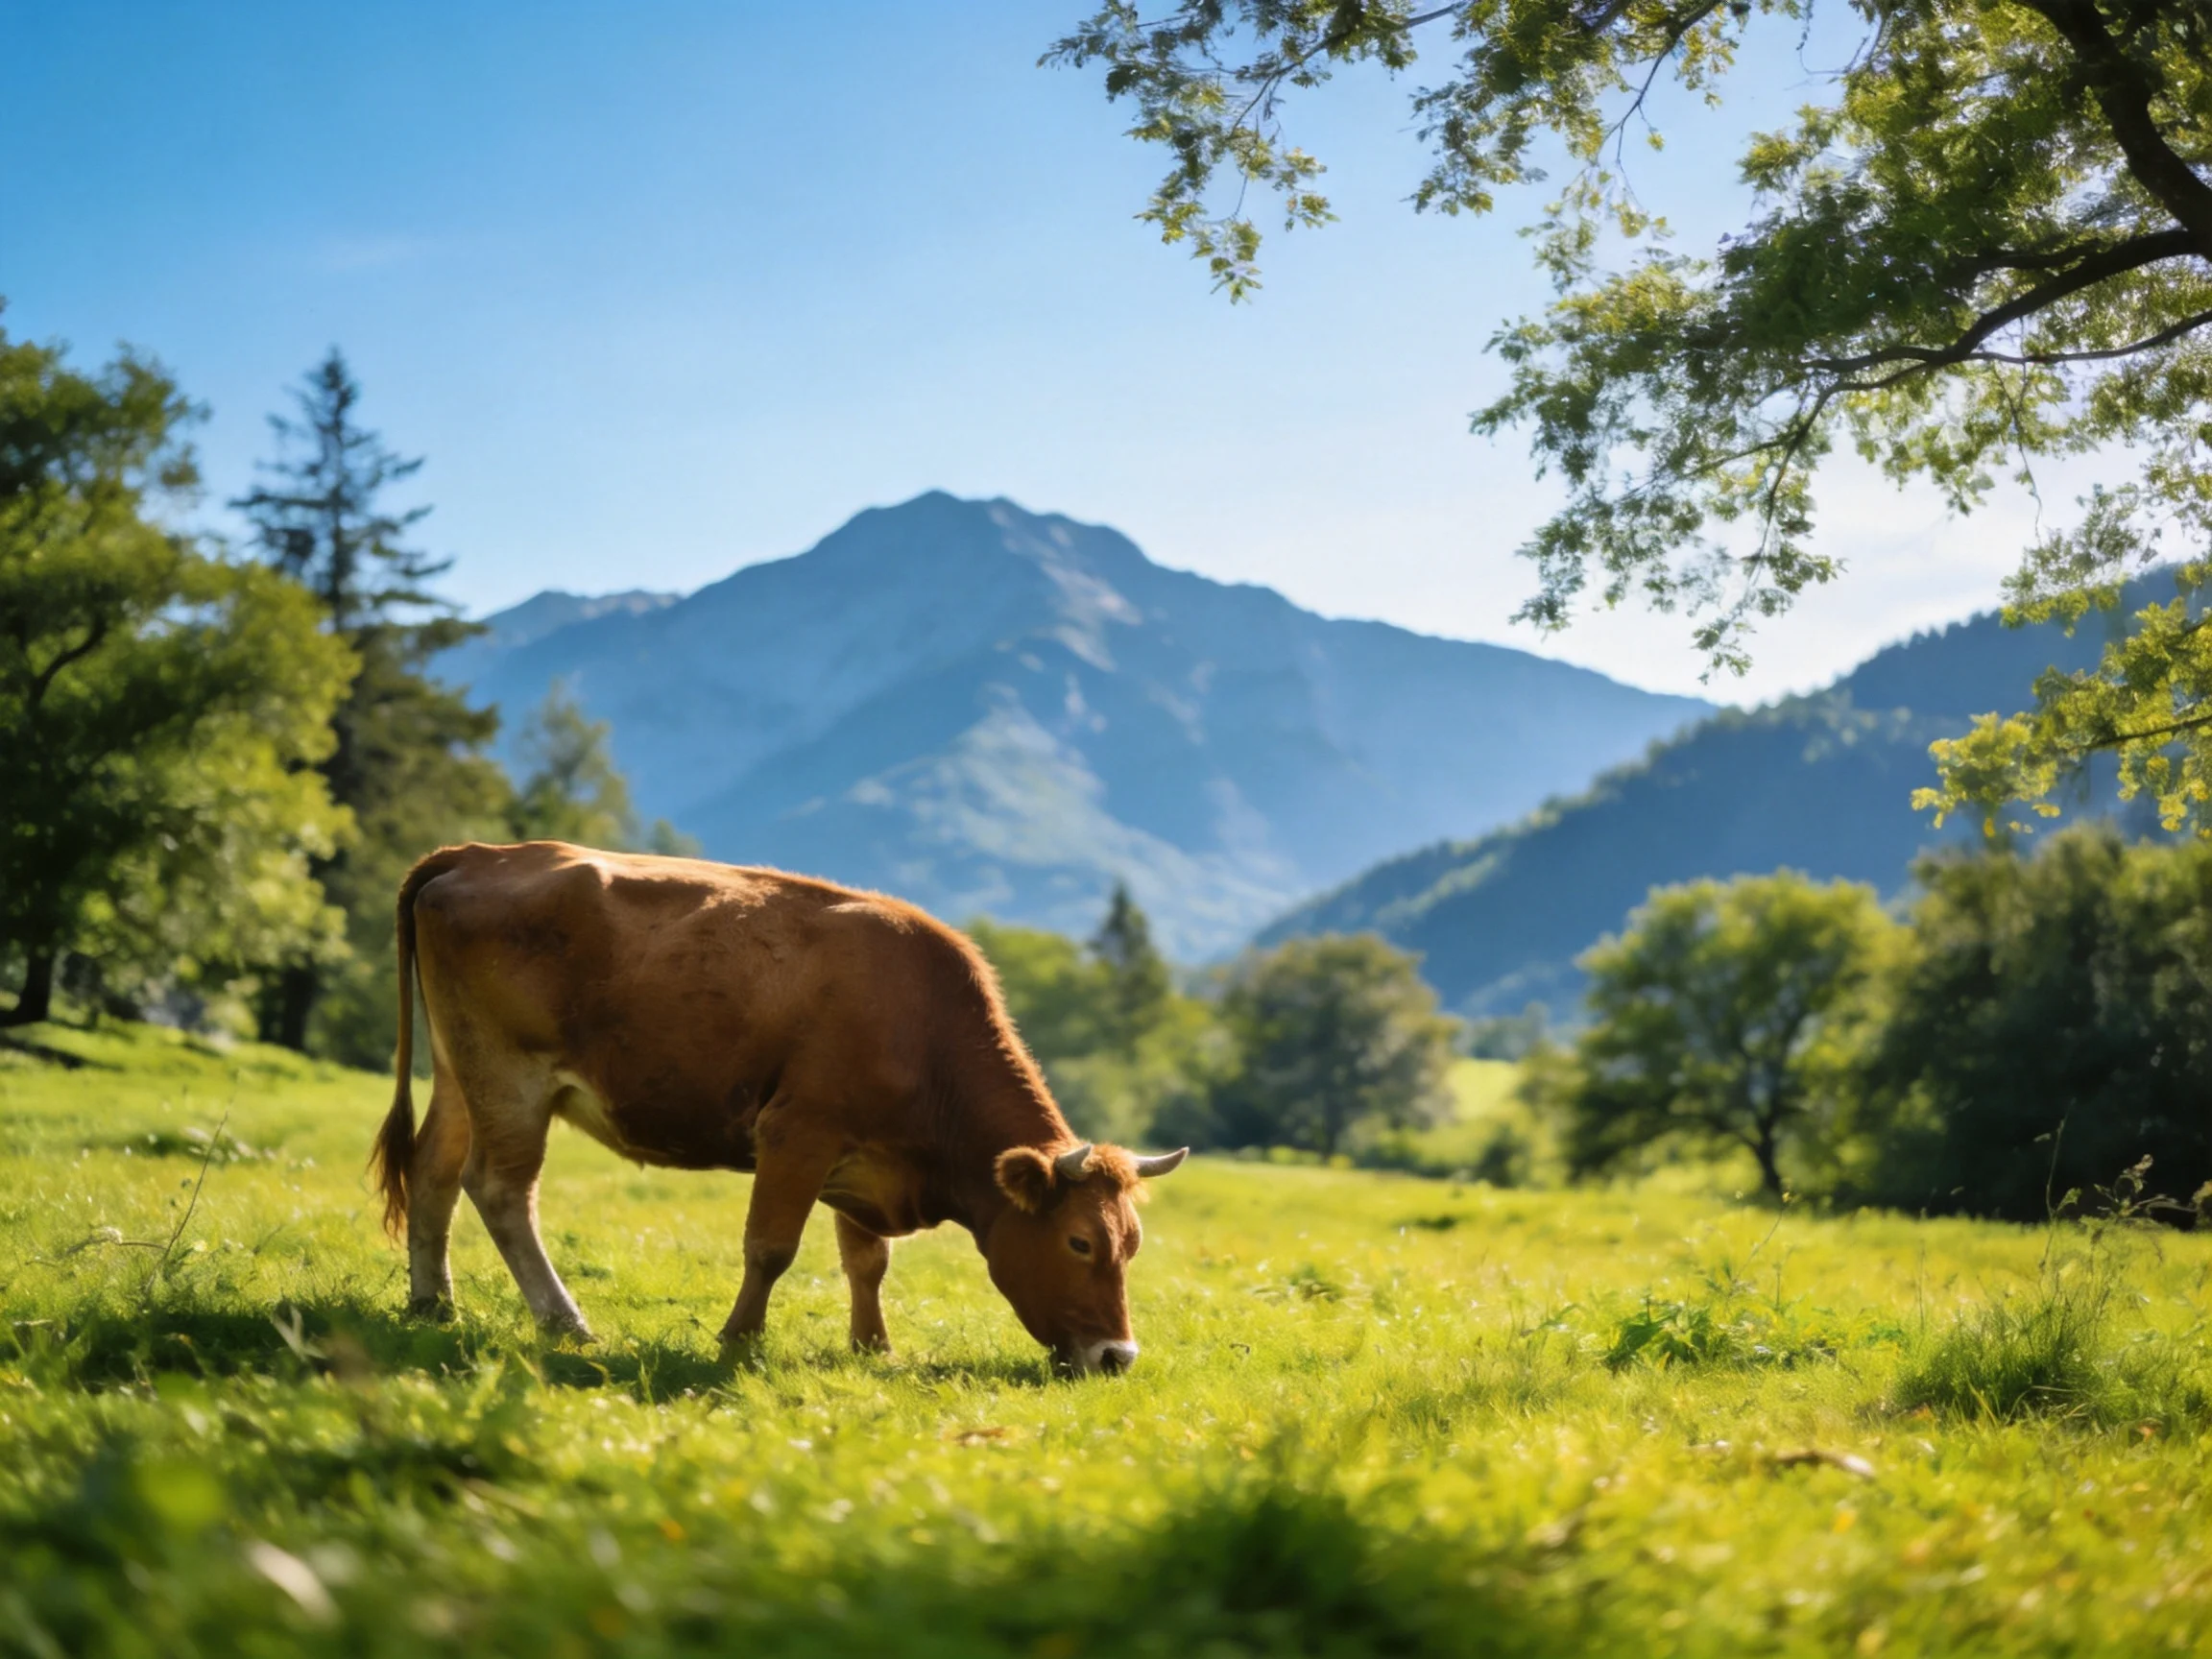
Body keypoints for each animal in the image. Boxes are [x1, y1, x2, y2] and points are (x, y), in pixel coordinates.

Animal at [369, 841, 1188, 1374]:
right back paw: (564, 1321)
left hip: (461, 1070)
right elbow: (771, 1248)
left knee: (433, 1170)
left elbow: (868, 1261)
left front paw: (872, 1347)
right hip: (510, 1077)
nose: (1118, 1357)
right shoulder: (798, 1133)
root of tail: (482, 853)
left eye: (1133, 1243)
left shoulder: (864, 1160)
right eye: (1080, 1242)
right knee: (500, 1190)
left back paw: (432, 1304)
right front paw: (739, 1339)